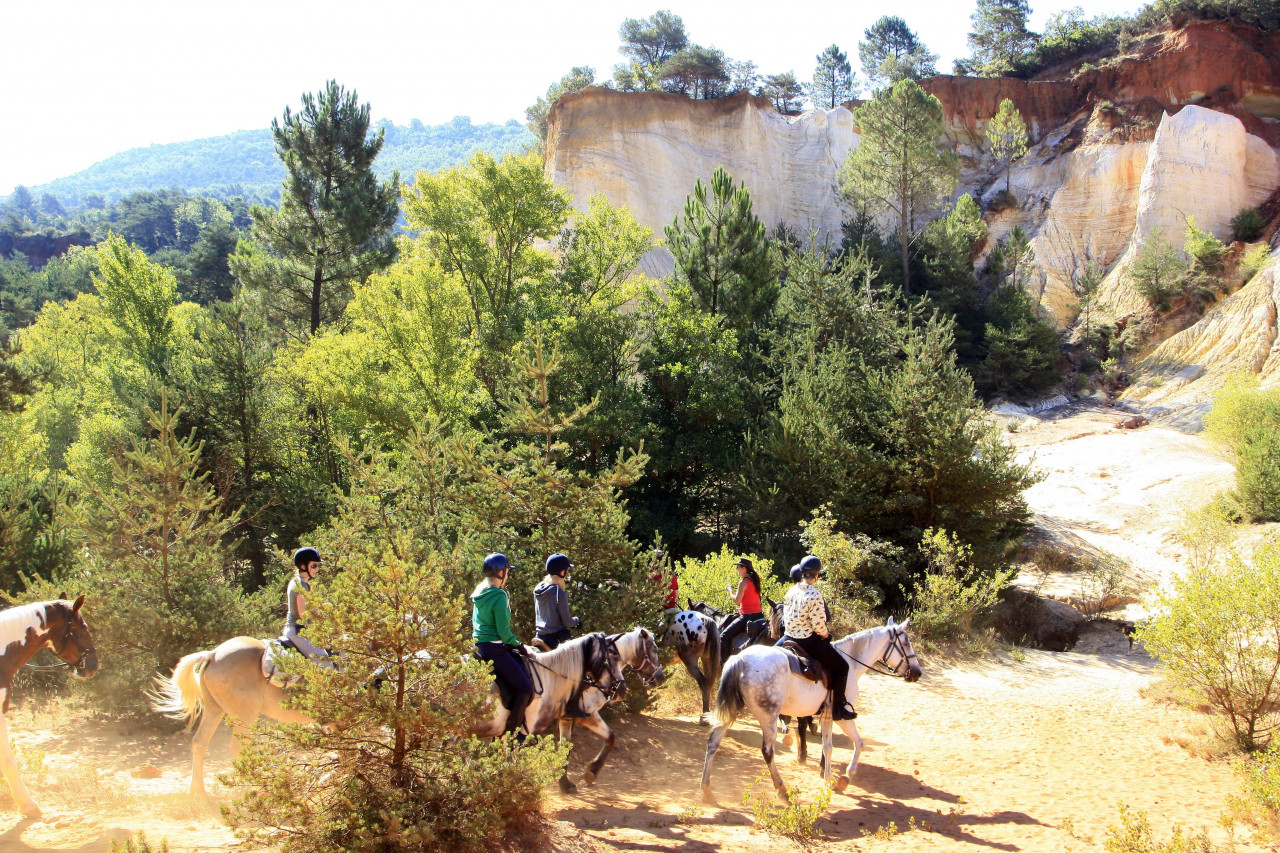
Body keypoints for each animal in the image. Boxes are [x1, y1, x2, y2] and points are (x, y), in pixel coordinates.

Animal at [701, 617, 921, 804]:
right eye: (906, 643)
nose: (917, 673)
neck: (851, 662)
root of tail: (741, 660)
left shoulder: (825, 716)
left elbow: (832, 745)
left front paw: (831, 776)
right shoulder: (840, 716)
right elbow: (853, 744)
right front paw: (843, 778)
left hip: (732, 712)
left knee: (713, 742)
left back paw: (707, 790)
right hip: (768, 716)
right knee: (768, 751)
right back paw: (782, 790)